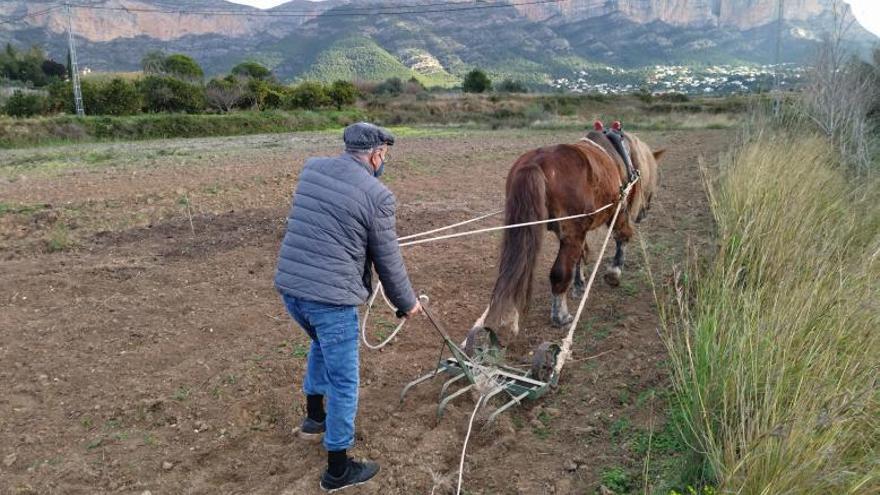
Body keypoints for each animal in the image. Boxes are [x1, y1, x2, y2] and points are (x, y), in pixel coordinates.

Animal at [470, 132, 664, 344]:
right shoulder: (618, 209)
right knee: (559, 273)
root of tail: (536, 162)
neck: (623, 154)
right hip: (574, 231)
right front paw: (614, 273)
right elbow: (621, 236)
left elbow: (580, 256)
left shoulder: (580, 230)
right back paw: (561, 316)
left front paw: (579, 285)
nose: (645, 212)